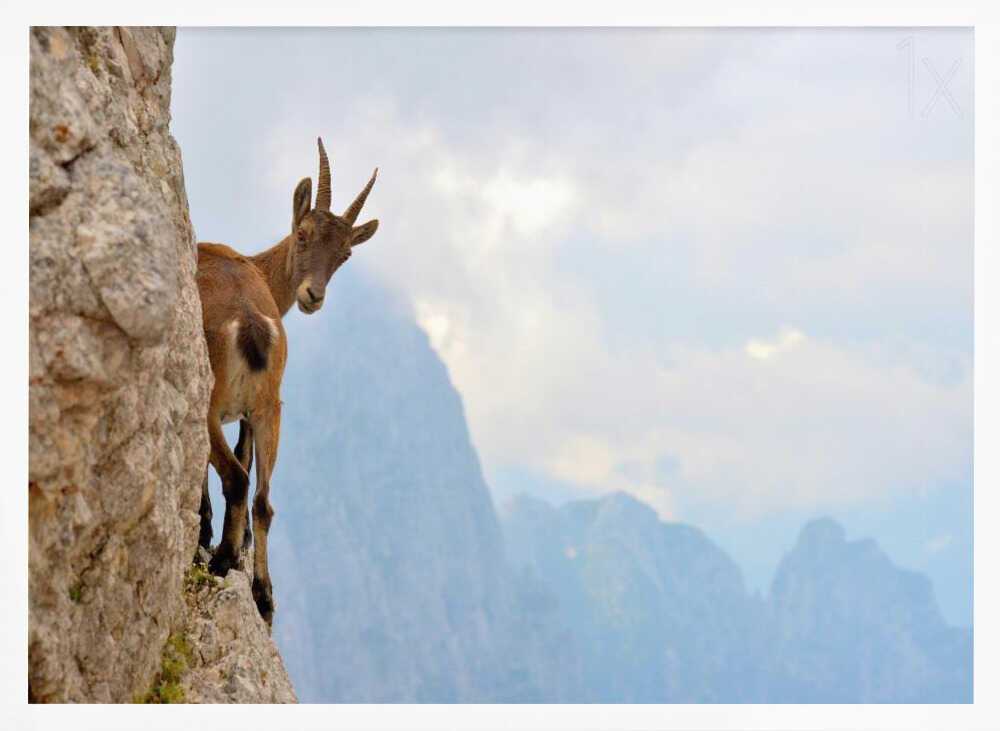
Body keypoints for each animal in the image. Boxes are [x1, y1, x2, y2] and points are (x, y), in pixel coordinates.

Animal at [195, 138, 378, 627]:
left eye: (345, 254)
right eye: (303, 234)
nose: (314, 295)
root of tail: (250, 323)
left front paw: (208, 534)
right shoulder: (248, 413)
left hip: (211, 404)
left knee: (237, 479)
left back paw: (222, 562)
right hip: (271, 408)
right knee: (264, 499)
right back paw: (262, 596)